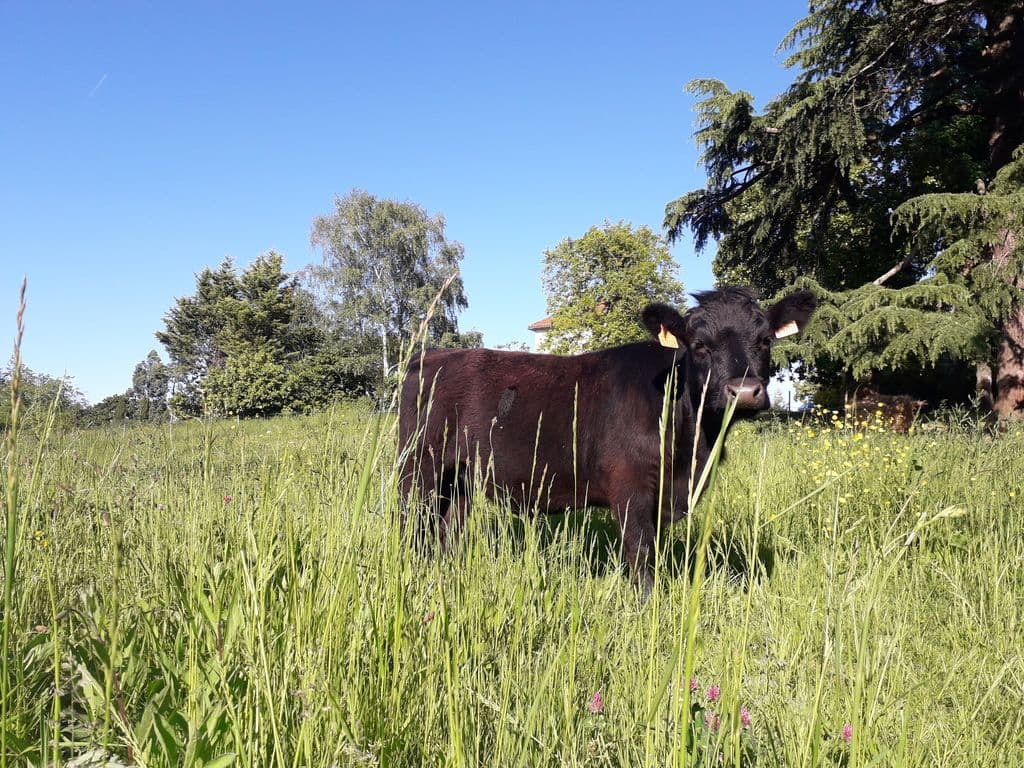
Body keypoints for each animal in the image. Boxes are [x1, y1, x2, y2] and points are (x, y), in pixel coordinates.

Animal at [398, 286, 817, 591]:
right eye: (699, 344)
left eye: (765, 340)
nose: (743, 392)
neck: (694, 445)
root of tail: (433, 355)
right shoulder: (630, 488)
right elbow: (641, 554)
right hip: (418, 468)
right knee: (411, 525)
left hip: (461, 477)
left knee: (447, 528)